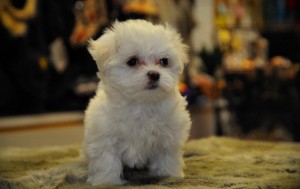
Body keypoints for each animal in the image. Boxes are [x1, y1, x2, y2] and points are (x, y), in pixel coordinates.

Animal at [82, 19, 190, 185]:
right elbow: (106, 160)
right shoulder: (105, 136)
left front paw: (169, 176)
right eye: (132, 61)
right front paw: (106, 181)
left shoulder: (169, 135)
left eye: (164, 61)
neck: (141, 104)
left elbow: (167, 156)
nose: (154, 74)